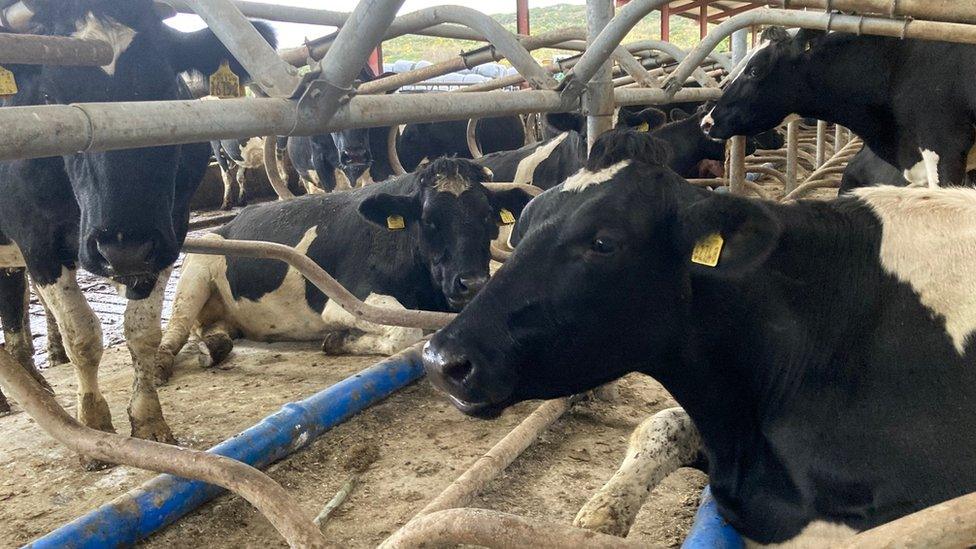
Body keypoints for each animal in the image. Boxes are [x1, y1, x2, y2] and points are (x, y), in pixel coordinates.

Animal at [0, 0, 272, 464]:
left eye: (164, 89)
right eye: (50, 97)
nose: (121, 248)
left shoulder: (166, 232)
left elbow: (143, 332)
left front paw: (148, 420)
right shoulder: (36, 238)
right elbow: (83, 333)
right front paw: (93, 426)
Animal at [161, 156, 536, 366]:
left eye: (488, 217)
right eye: (429, 220)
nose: (471, 283)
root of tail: (231, 222)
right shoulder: (346, 300)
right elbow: (406, 330)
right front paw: (339, 340)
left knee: (213, 330)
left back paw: (213, 347)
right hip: (198, 265)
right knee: (177, 327)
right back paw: (164, 363)